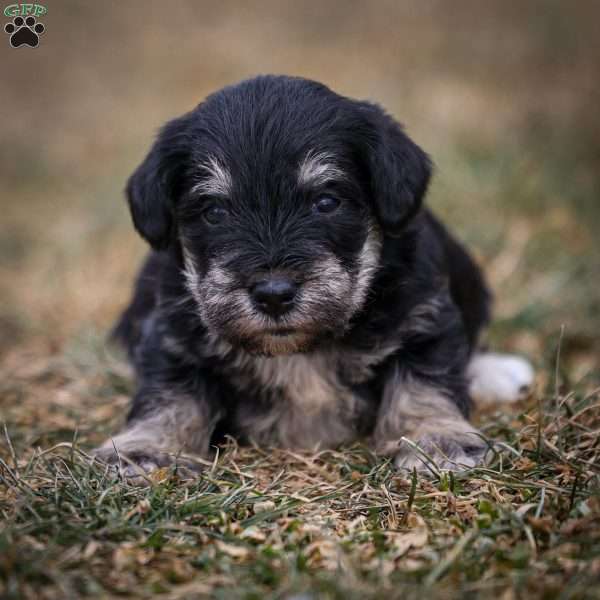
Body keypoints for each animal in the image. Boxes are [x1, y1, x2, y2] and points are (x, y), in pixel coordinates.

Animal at [95, 76, 536, 478]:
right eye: (214, 212)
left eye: (326, 202)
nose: (273, 295)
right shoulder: (172, 337)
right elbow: (169, 394)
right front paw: (145, 450)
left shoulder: (423, 316)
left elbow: (424, 381)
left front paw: (439, 440)